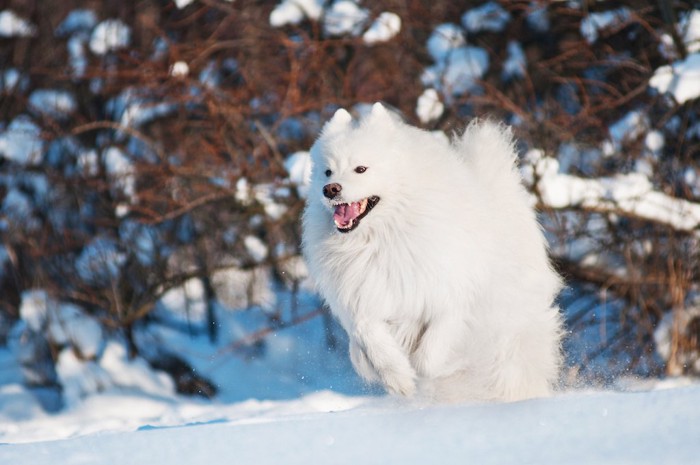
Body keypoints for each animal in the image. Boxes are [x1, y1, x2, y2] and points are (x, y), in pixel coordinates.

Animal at [300, 103, 564, 400]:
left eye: (361, 169)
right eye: (327, 172)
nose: (330, 189)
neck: (380, 239)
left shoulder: (450, 297)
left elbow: (429, 357)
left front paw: (432, 369)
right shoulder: (364, 301)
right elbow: (371, 341)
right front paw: (398, 378)